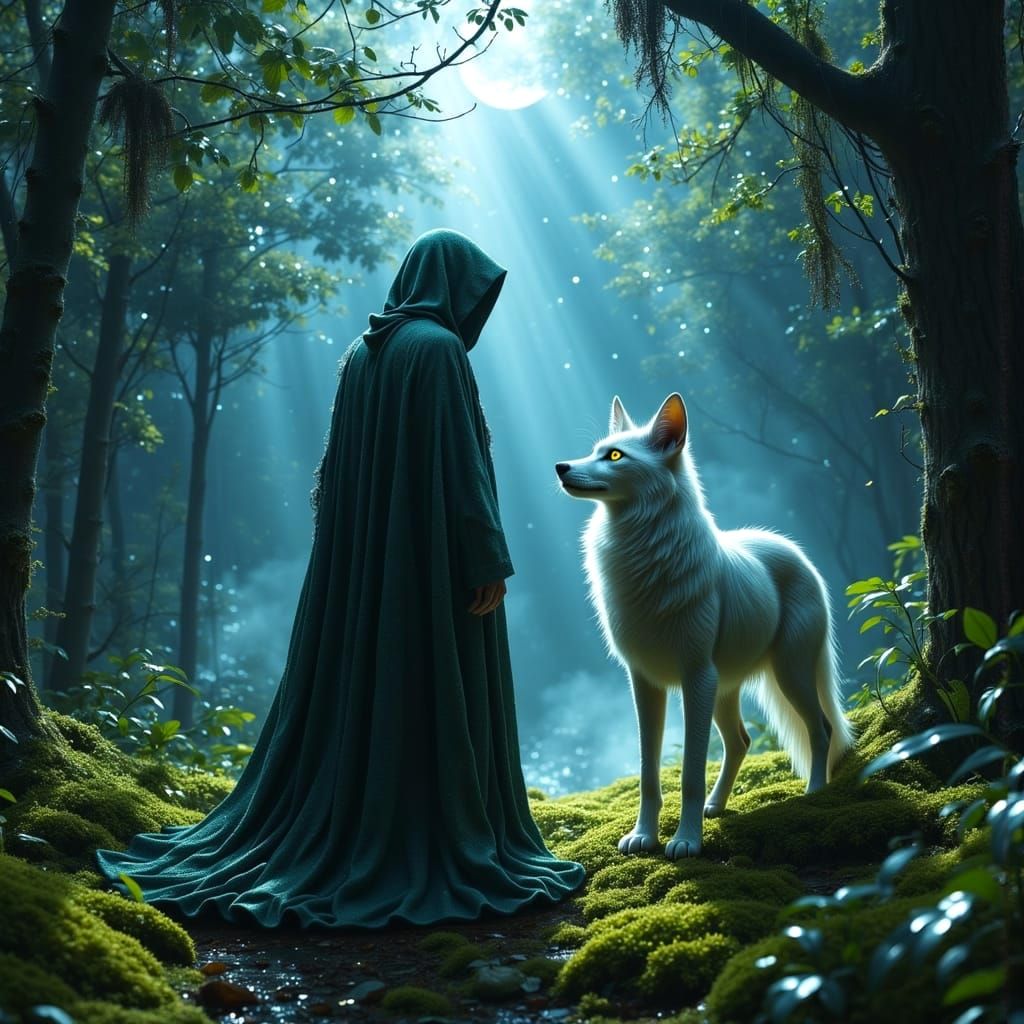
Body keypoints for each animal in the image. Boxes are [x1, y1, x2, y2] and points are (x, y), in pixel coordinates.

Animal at [555, 393, 854, 859]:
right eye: (595, 450)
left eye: (615, 456)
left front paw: (685, 841)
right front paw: (644, 837)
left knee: (821, 729)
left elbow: (690, 772)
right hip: (724, 689)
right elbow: (649, 772)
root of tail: (795, 551)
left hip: (784, 675)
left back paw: (814, 792)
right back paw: (717, 806)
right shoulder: (645, 682)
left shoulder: (694, 677)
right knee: (741, 741)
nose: (561, 467)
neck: (643, 551)